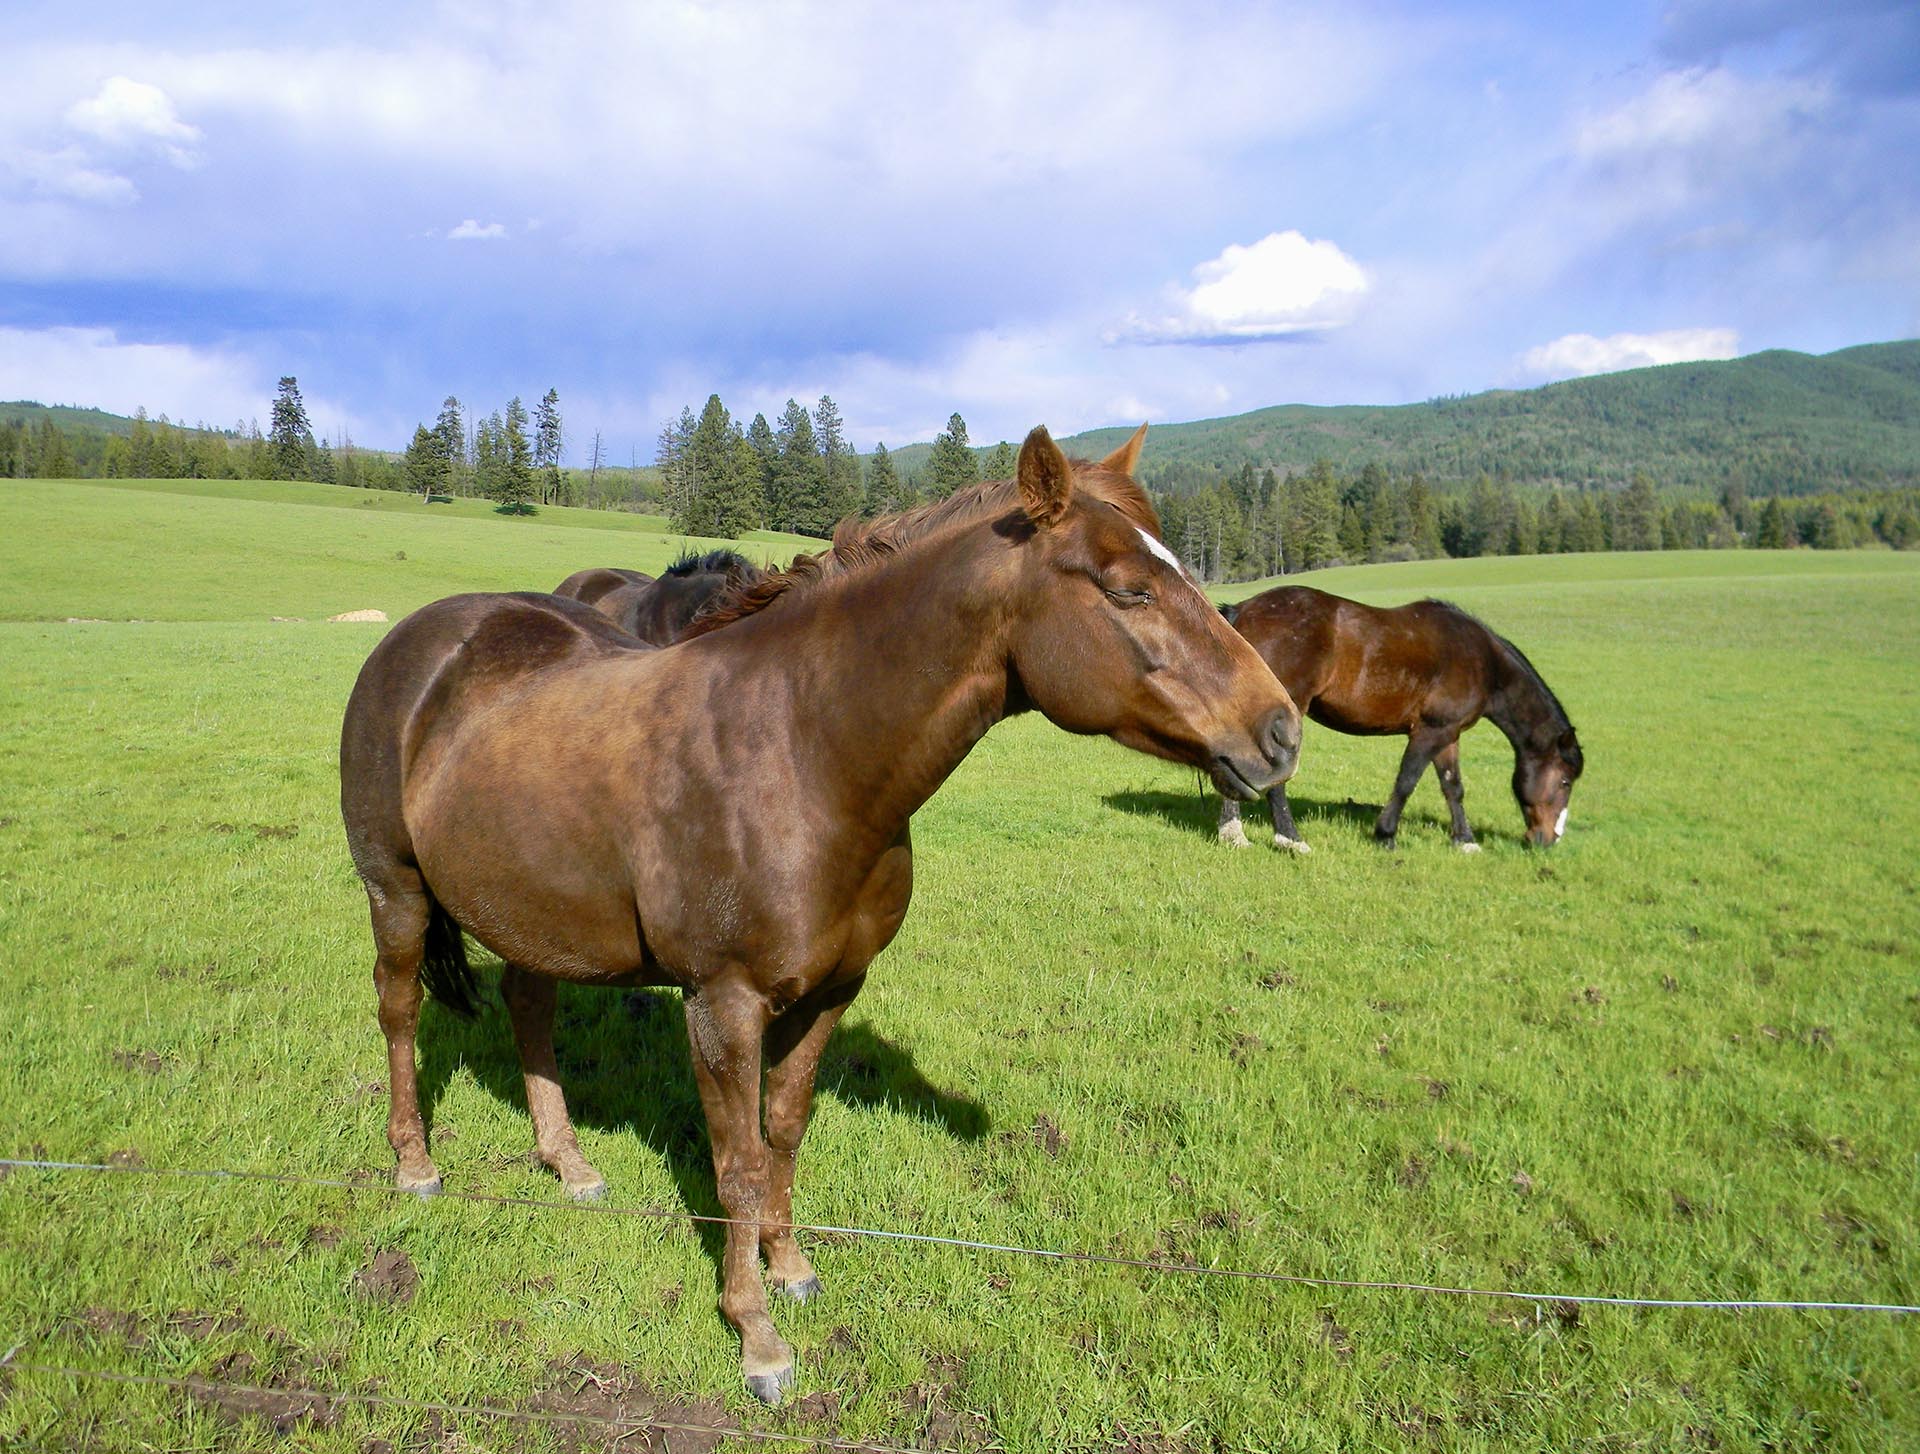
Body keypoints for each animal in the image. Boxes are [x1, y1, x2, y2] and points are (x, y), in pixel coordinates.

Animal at [1213, 586, 1581, 852]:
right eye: (1565, 782)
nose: (1548, 839)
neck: (1483, 660)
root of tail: (1243, 611)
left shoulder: (1448, 734)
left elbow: (1453, 787)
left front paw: (1465, 840)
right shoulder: (1428, 732)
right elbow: (1406, 781)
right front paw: (1386, 834)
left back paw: (1233, 833)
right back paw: (1290, 838)